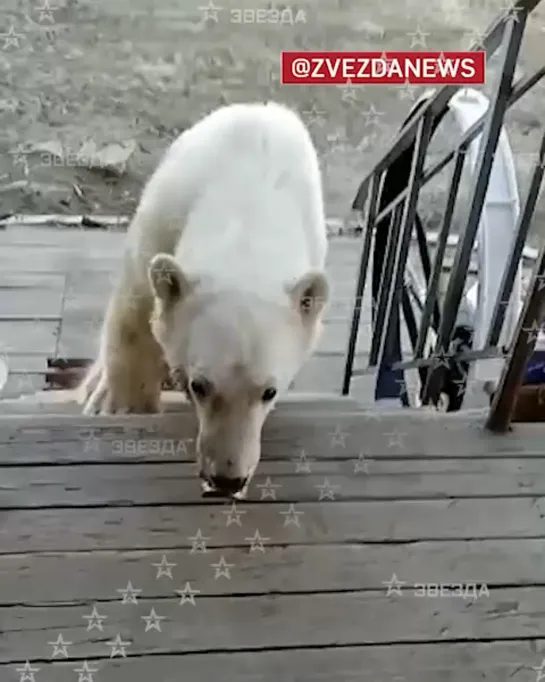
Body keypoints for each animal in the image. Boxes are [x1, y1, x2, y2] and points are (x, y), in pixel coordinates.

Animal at [80, 99, 328, 494]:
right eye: (200, 385)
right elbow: (136, 305)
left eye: (270, 391)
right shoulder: (167, 210)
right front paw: (120, 404)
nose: (227, 479)